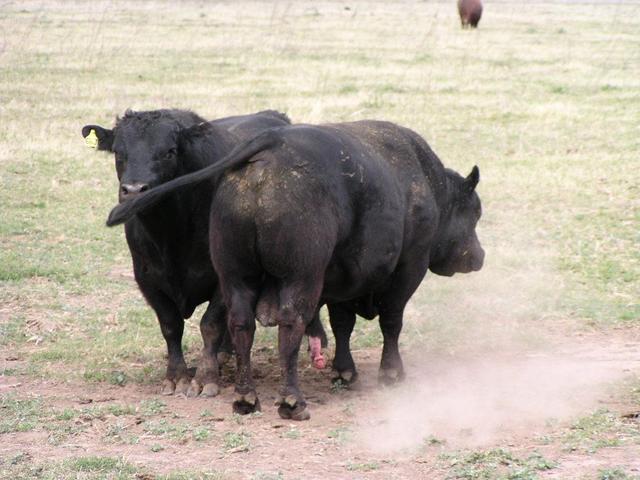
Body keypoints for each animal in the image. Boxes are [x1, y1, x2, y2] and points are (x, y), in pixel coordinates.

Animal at [106, 121, 484, 420]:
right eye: (474, 211)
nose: (478, 256)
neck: (424, 181)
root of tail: (269, 147)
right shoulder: (408, 269)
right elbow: (391, 323)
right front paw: (391, 373)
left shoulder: (342, 280)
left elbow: (342, 325)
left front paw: (344, 371)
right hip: (300, 278)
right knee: (291, 323)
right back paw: (291, 401)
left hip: (235, 277)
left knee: (240, 324)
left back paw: (246, 397)